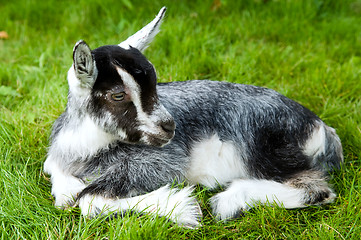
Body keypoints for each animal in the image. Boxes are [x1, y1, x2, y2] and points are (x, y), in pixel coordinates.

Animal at [43, 7, 342, 228]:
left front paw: (183, 209)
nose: (169, 127)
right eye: (118, 94)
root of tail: (322, 129)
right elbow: (59, 181)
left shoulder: (159, 162)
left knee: (317, 189)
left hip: (267, 149)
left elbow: (90, 201)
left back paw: (229, 201)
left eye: (155, 81)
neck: (84, 149)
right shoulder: (57, 159)